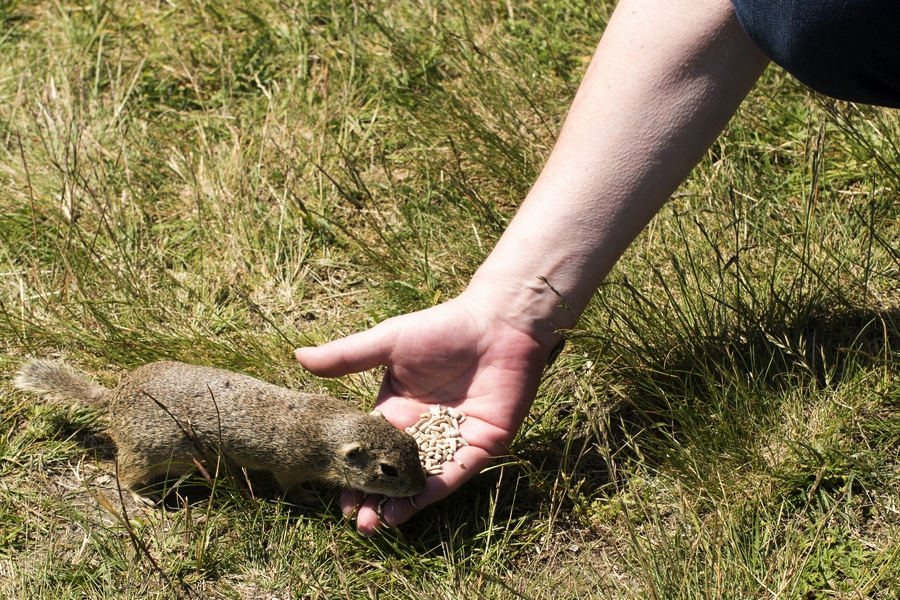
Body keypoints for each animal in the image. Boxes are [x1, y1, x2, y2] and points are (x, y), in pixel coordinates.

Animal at [13, 358, 428, 504]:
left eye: (414, 444)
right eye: (388, 470)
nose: (423, 488)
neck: (324, 427)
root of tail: (114, 399)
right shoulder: (288, 467)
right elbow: (289, 487)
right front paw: (309, 496)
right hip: (146, 455)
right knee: (122, 475)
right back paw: (145, 498)